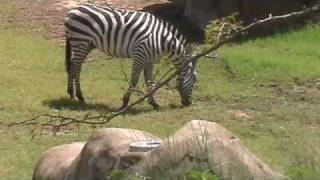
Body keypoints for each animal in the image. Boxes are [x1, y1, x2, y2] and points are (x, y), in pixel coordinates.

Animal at [63, 2, 196, 110]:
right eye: (194, 81)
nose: (188, 104)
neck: (163, 40)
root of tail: (73, 9)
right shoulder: (140, 54)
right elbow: (134, 79)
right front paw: (125, 102)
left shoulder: (149, 60)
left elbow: (149, 81)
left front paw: (154, 103)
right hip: (80, 41)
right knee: (75, 67)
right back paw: (77, 95)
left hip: (87, 45)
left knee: (75, 66)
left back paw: (73, 94)